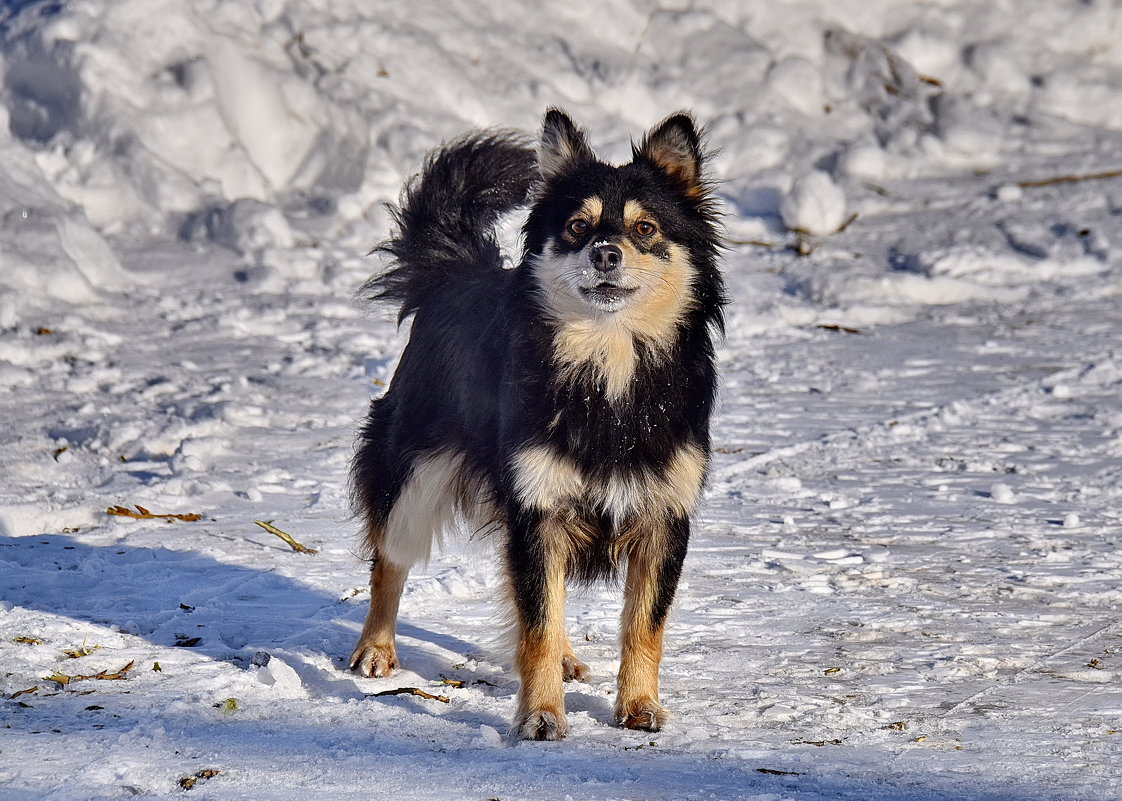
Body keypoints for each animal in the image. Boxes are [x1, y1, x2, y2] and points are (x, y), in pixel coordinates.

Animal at [345, 109, 722, 740]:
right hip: (414, 479)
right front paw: (542, 715)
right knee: (388, 561)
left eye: (645, 229)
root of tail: (457, 274)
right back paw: (375, 649)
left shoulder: (662, 516)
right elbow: (537, 625)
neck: (607, 364)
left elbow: (642, 625)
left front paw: (639, 705)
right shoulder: (536, 507)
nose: (605, 253)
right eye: (577, 226)